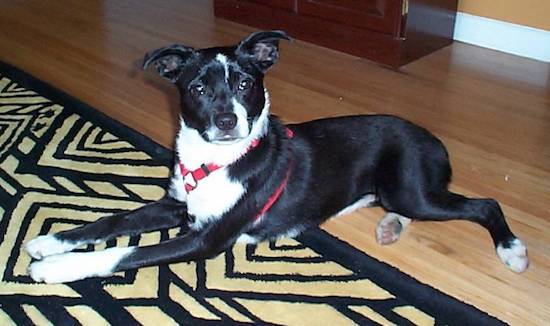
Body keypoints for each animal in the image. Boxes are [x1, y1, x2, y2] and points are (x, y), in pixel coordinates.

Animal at [27, 31, 532, 284]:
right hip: (400, 192)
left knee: (483, 204)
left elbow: (126, 253)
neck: (216, 161)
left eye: (246, 83)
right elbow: (113, 222)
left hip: (412, 189)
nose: (227, 120)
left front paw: (56, 268)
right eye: (197, 88)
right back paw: (390, 226)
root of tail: (433, 139)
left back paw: (511, 250)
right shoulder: (177, 205)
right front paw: (51, 242)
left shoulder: (208, 238)